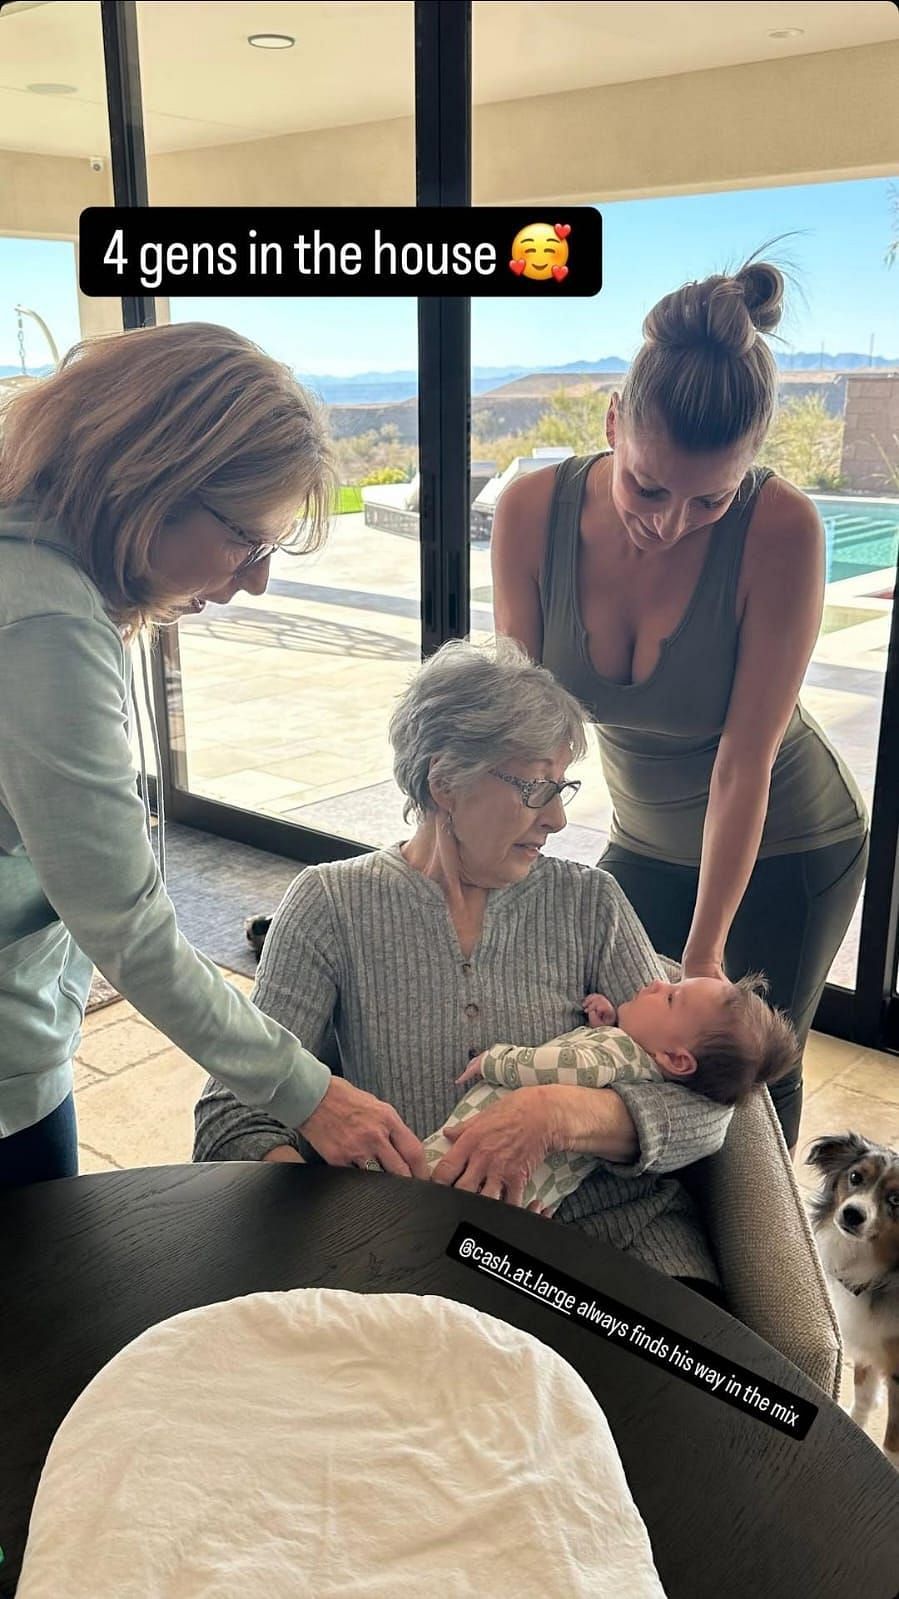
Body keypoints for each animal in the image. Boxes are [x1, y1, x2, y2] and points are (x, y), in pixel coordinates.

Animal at [806, 1132, 895, 1464]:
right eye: (855, 1177)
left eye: (896, 1200)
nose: (852, 1214)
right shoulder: (868, 1344)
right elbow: (863, 1398)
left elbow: (892, 1441)